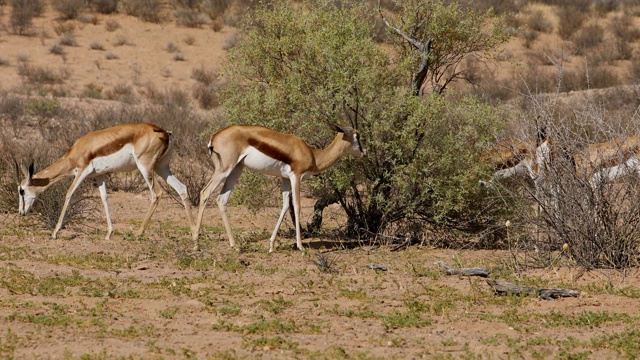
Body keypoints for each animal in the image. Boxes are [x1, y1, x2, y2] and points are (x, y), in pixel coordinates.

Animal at [19, 122, 195, 240]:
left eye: (21, 190)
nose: (21, 212)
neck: (77, 150)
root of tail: (165, 132)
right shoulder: (99, 175)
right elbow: (104, 198)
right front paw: (109, 233)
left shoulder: (82, 172)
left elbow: (69, 193)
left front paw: (54, 233)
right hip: (161, 167)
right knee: (182, 189)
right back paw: (194, 238)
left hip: (145, 167)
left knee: (156, 193)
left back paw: (138, 233)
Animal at [192, 125, 368, 252]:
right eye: (357, 136)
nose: (365, 152)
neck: (313, 154)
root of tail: (214, 137)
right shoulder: (296, 177)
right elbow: (296, 206)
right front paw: (301, 246)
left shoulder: (284, 179)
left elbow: (284, 206)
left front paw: (271, 245)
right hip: (224, 170)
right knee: (205, 193)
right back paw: (196, 243)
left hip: (236, 169)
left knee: (221, 199)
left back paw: (234, 245)